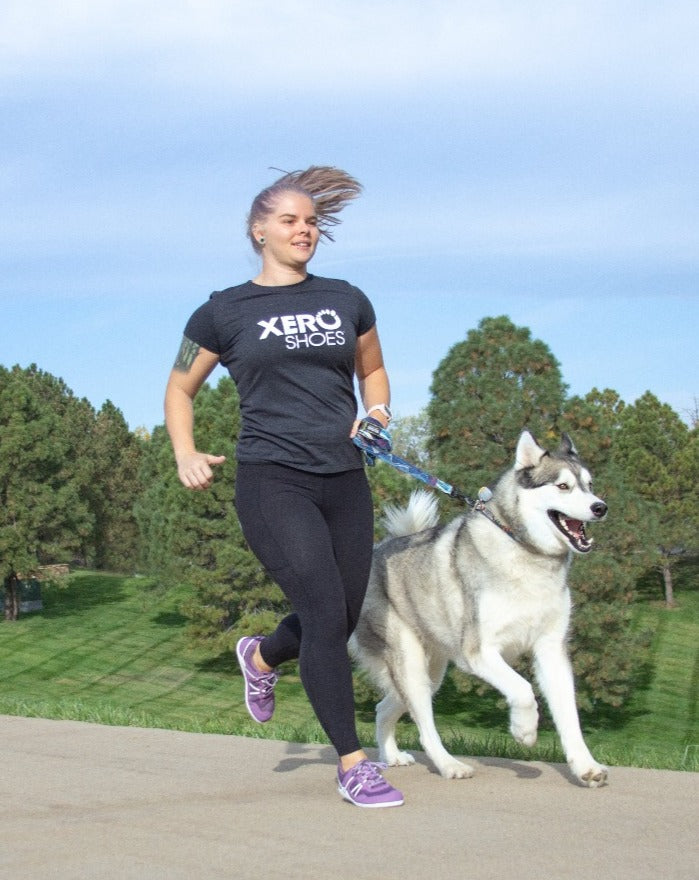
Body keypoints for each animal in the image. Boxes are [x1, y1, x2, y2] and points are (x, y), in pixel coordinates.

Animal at [352, 430, 608, 788]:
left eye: (590, 484)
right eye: (562, 486)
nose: (600, 507)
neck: (526, 552)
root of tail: (377, 550)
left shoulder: (552, 650)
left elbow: (569, 717)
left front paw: (586, 766)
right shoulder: (478, 651)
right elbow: (523, 689)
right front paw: (524, 730)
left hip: (431, 673)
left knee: (384, 708)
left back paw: (392, 755)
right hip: (410, 662)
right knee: (425, 727)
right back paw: (449, 765)